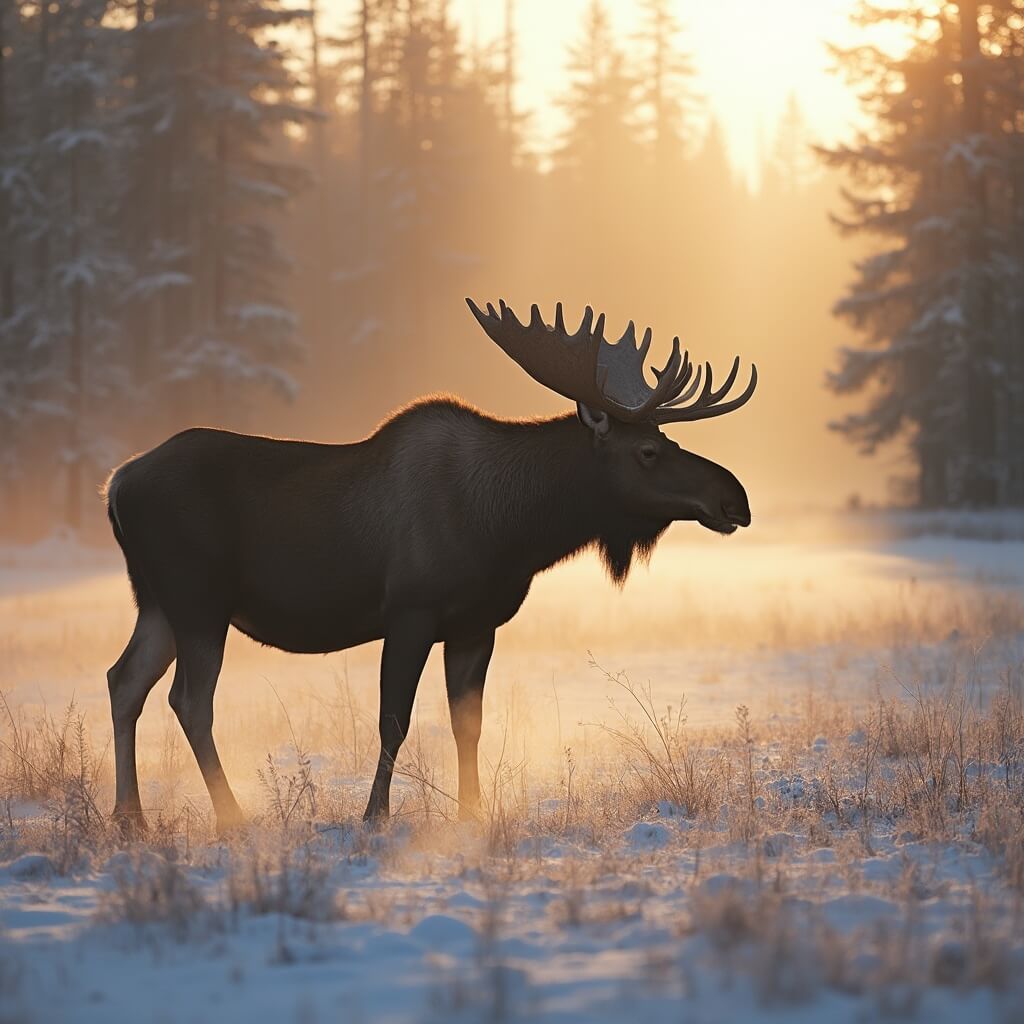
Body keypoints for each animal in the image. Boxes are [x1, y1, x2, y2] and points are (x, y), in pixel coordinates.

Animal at [104, 299, 757, 832]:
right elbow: (394, 719)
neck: (511, 530)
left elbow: (467, 721)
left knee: (124, 680)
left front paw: (472, 812)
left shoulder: (476, 624)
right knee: (189, 700)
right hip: (197, 599)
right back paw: (230, 816)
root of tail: (114, 485)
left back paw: (130, 817)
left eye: (668, 441)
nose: (736, 499)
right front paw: (375, 816)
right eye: (648, 451)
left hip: (156, 602)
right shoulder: (410, 611)